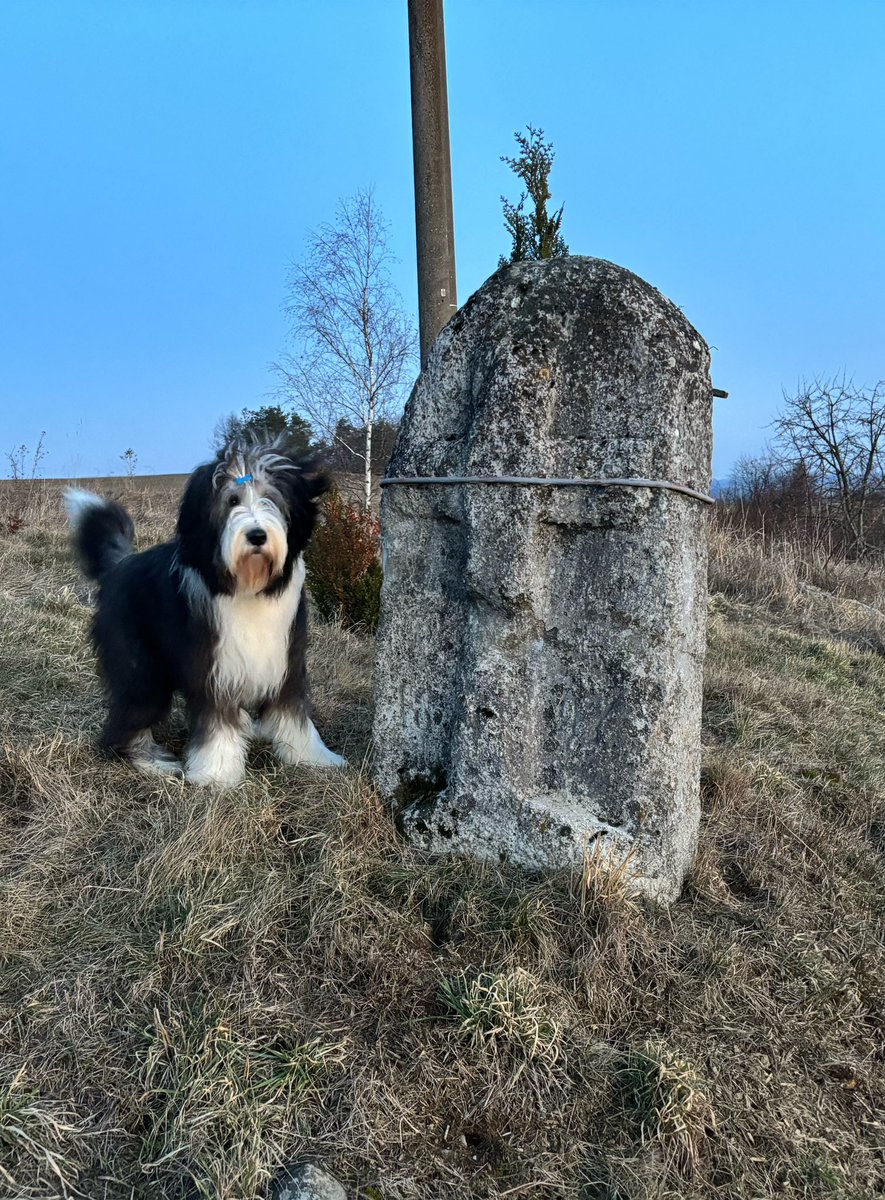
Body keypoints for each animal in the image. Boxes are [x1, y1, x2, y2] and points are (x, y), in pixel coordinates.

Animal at [63, 441, 340, 787]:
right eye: (232, 501)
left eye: (271, 499)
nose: (257, 535)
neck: (247, 586)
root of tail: (119, 566)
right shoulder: (213, 667)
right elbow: (216, 722)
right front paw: (216, 774)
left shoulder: (287, 659)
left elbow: (293, 714)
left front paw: (312, 757)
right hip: (142, 669)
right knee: (123, 724)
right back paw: (151, 760)